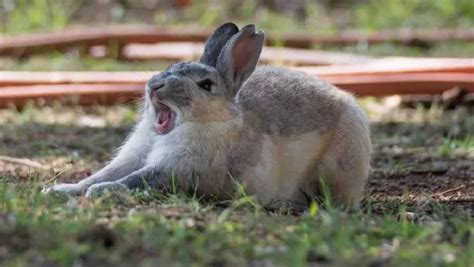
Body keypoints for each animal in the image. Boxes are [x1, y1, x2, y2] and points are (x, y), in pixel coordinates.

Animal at [44, 22, 370, 208]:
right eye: (172, 66)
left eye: (206, 85)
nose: (154, 85)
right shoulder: (135, 157)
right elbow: (105, 173)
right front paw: (59, 189)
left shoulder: (179, 168)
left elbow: (139, 179)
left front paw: (102, 191)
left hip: (335, 167)